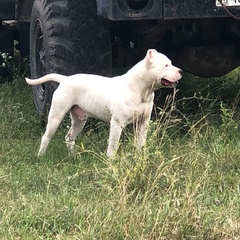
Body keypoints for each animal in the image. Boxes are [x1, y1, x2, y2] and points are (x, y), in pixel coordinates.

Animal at [25, 49, 182, 157]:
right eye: (166, 65)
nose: (180, 71)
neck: (140, 89)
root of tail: (65, 79)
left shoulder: (143, 122)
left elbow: (140, 143)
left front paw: (140, 158)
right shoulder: (117, 124)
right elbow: (113, 146)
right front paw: (111, 162)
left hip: (79, 119)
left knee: (69, 137)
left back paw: (73, 156)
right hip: (56, 115)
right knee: (46, 136)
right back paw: (41, 156)